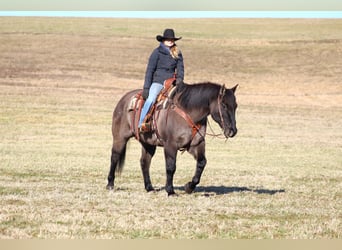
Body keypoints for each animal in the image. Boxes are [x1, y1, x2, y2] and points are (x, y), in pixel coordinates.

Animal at [106, 81, 238, 195]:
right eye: (224, 105)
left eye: (235, 106)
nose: (233, 131)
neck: (188, 112)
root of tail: (123, 100)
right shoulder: (170, 145)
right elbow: (171, 167)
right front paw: (170, 190)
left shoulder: (196, 144)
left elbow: (202, 163)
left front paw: (189, 186)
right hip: (120, 138)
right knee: (114, 157)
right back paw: (110, 184)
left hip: (148, 144)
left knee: (144, 162)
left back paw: (149, 187)